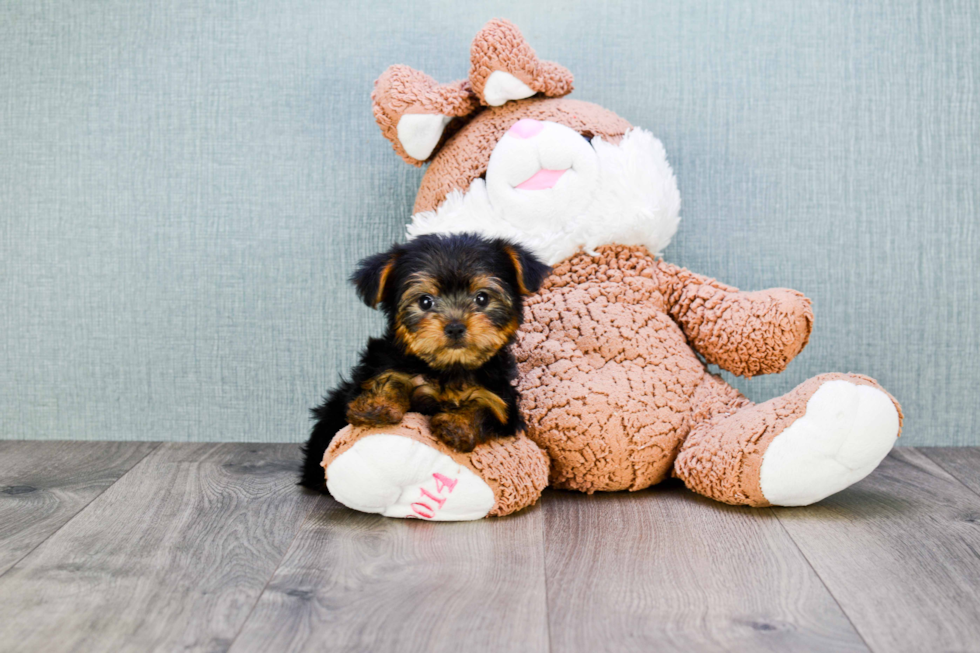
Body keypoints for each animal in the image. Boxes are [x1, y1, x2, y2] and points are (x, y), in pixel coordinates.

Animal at [298, 232, 552, 492]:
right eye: (425, 301)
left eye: (482, 298)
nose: (455, 327)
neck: (447, 370)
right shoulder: (382, 363)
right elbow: (390, 377)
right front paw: (377, 407)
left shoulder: (502, 399)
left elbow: (487, 406)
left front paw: (457, 425)